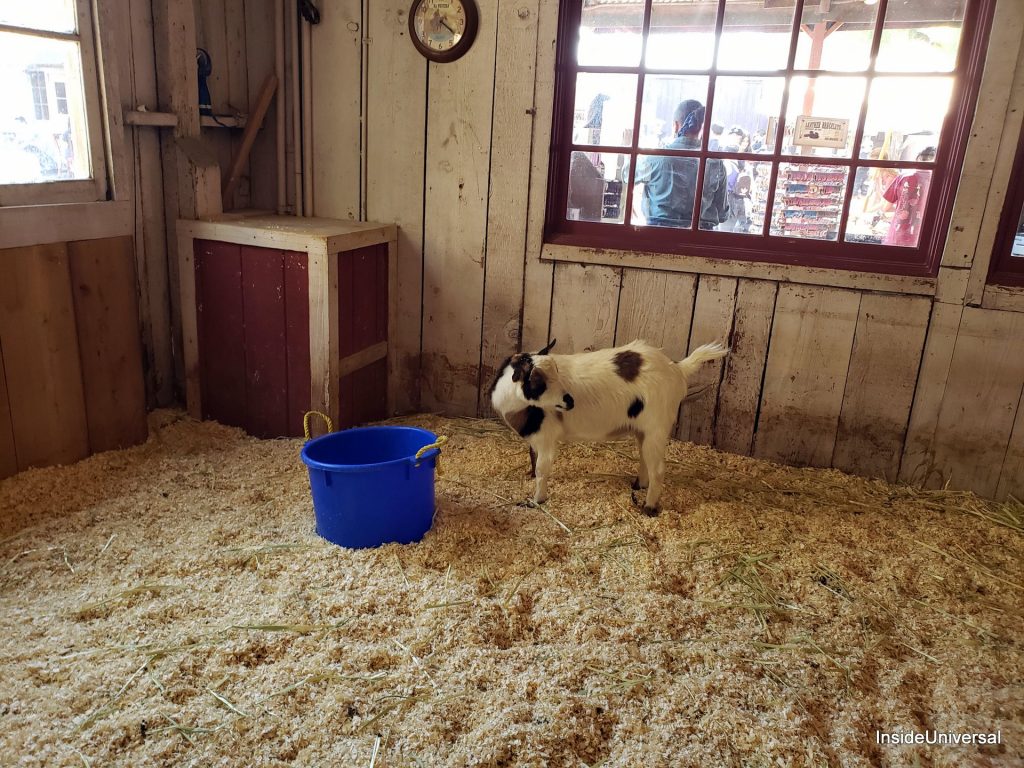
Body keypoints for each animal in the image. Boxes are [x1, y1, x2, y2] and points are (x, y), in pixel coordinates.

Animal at [489, 338, 728, 516]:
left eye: (556, 371)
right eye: (538, 382)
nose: (570, 401)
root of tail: (677, 368)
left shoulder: (547, 437)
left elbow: (541, 468)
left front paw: (537, 500)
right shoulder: (534, 438)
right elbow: (532, 459)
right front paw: (529, 477)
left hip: (657, 427)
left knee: (658, 469)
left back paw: (649, 507)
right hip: (644, 430)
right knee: (645, 457)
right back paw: (638, 485)